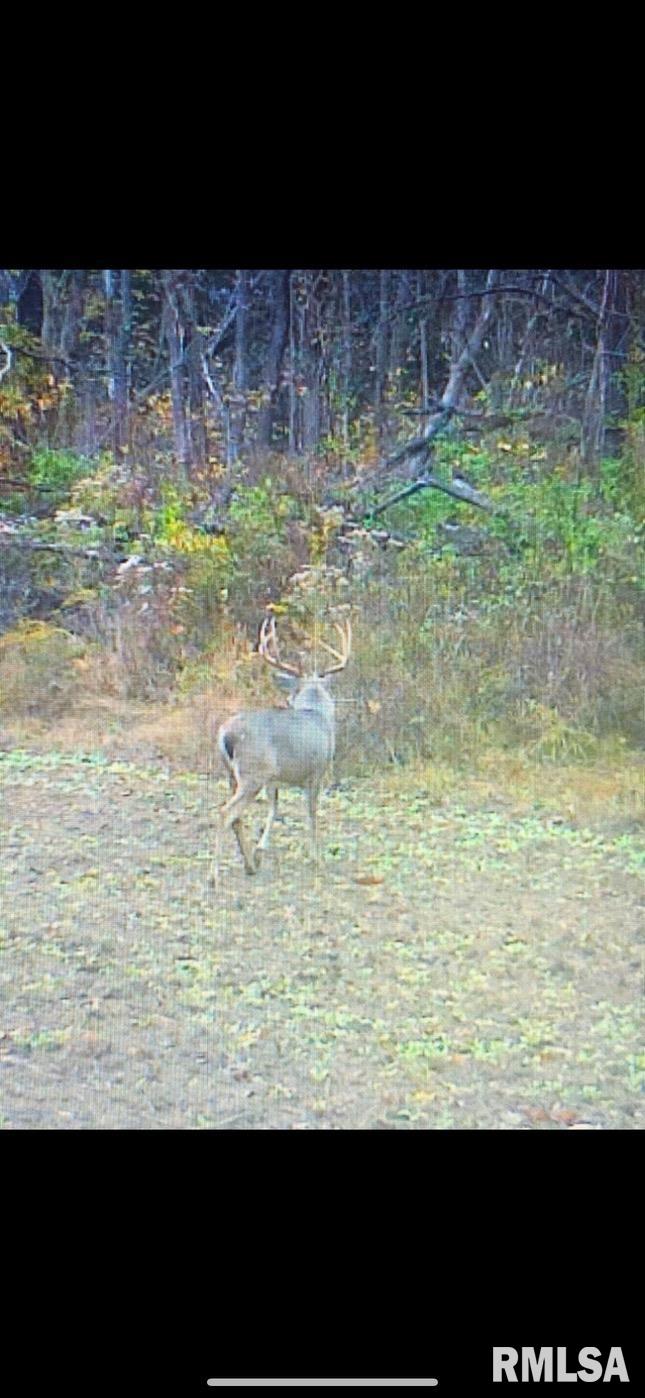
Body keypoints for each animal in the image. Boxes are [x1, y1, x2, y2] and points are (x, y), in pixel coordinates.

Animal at [216, 615, 349, 872]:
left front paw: (260, 850)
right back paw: (215, 875)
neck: (317, 713)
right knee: (226, 812)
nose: (287, 699)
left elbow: (274, 807)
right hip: (252, 773)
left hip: (233, 774)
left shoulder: (274, 778)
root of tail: (226, 735)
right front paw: (316, 856)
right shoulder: (317, 771)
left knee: (236, 816)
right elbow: (311, 812)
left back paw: (249, 864)